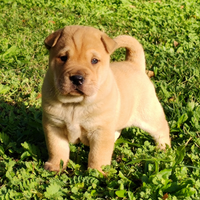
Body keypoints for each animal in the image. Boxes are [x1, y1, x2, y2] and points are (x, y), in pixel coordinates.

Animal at [42, 25, 170, 173]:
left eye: (94, 60)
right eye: (63, 58)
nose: (77, 78)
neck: (74, 104)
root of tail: (134, 64)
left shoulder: (100, 130)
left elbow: (98, 154)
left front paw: (96, 172)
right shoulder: (54, 126)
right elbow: (57, 148)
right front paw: (55, 166)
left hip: (148, 115)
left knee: (162, 130)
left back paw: (164, 150)